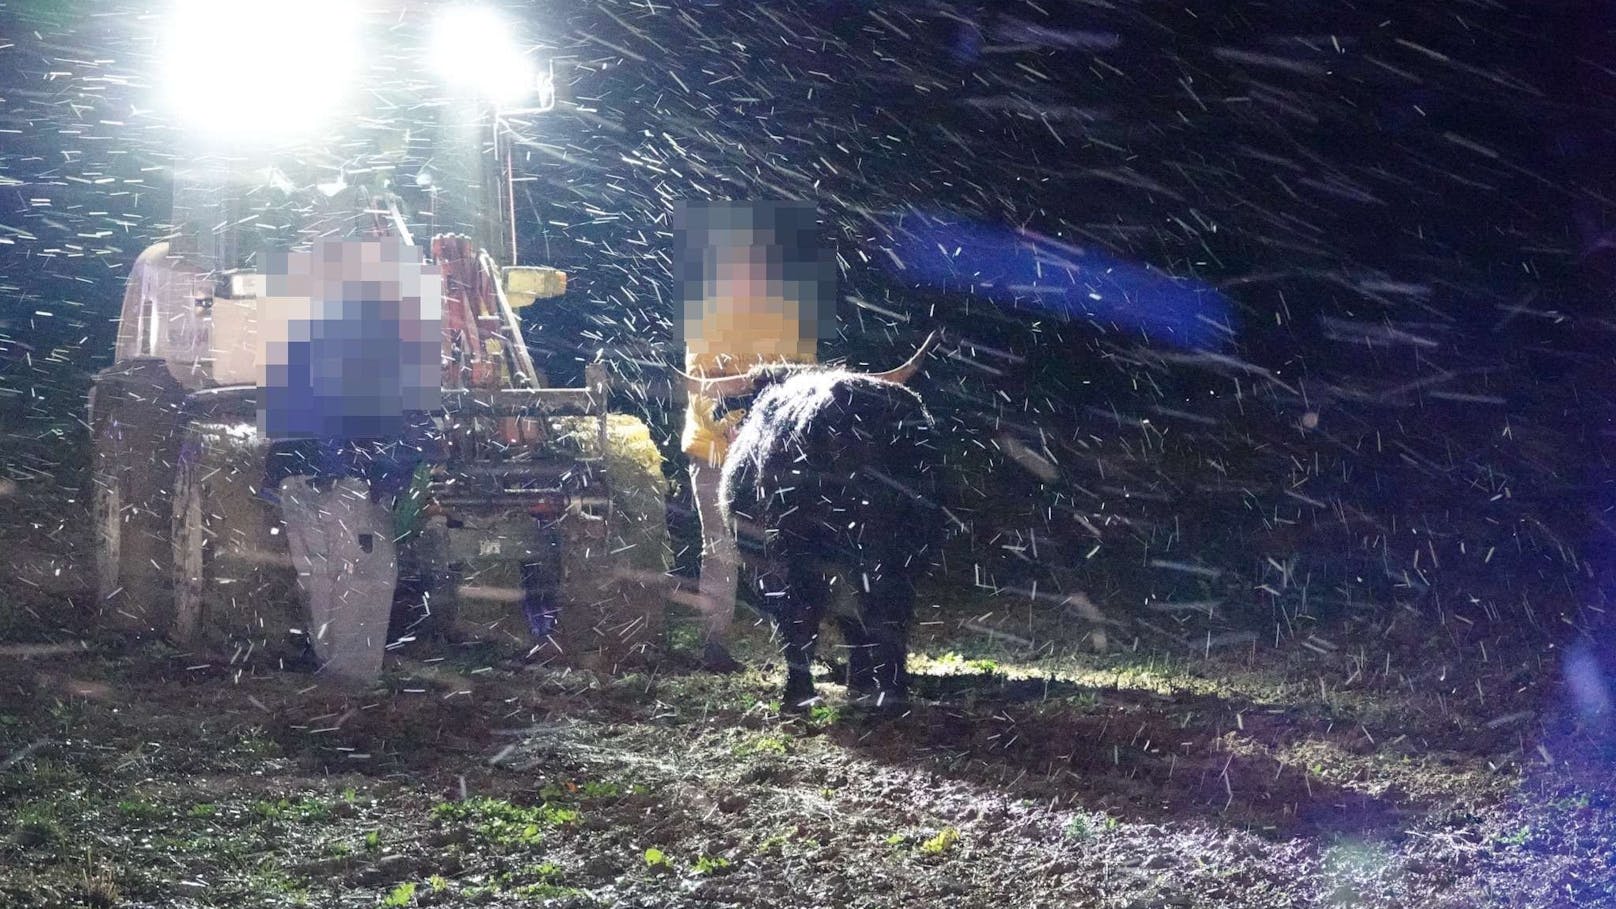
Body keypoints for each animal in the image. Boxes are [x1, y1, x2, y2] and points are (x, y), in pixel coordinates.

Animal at [723, 368, 943, 708]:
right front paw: (860, 682)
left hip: (799, 557)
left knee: (806, 615)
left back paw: (800, 694)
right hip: (901, 552)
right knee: (887, 612)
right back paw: (890, 689)